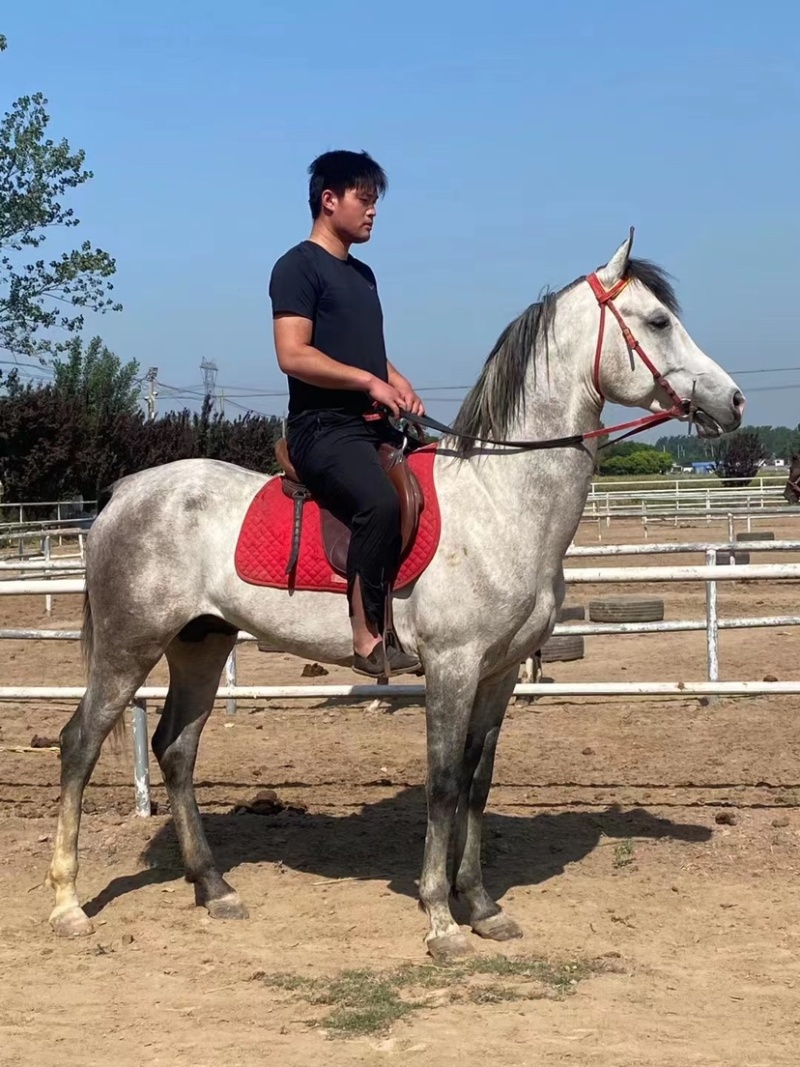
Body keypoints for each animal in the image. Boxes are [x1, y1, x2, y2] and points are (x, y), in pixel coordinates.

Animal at [45, 232, 744, 962]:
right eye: (658, 321)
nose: (734, 401)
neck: (500, 498)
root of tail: (125, 493)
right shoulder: (452, 665)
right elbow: (442, 783)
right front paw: (441, 920)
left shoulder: (498, 673)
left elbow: (477, 782)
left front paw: (483, 906)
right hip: (129, 646)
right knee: (80, 744)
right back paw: (69, 905)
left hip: (201, 643)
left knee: (177, 748)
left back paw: (214, 888)